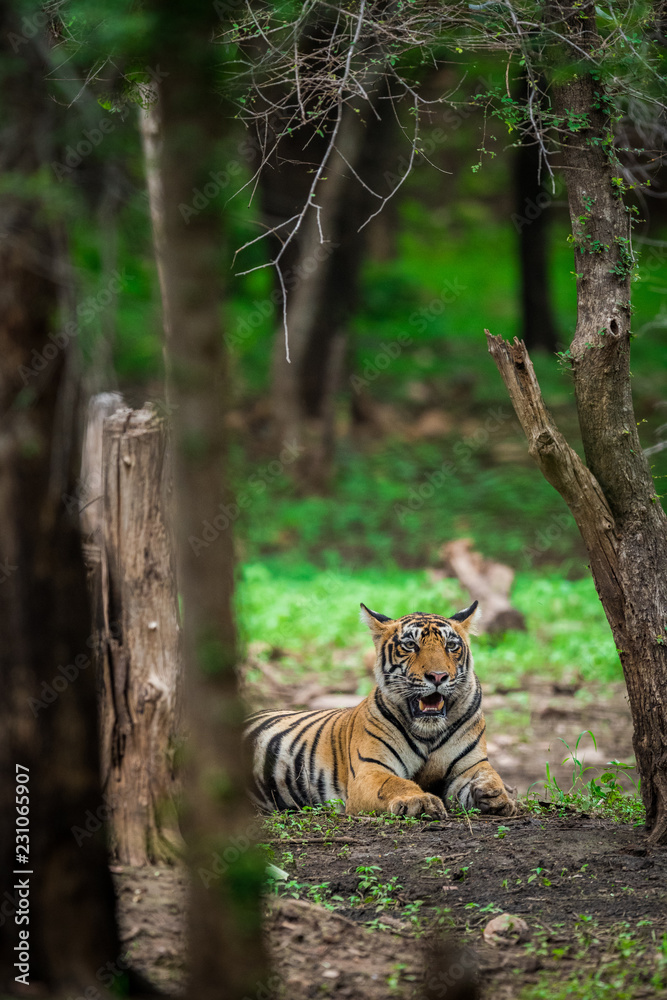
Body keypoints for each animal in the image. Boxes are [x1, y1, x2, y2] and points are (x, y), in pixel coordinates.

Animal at [245, 600, 516, 818]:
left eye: (450, 646)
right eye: (410, 645)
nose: (438, 676)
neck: (429, 732)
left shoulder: (471, 765)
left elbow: (489, 775)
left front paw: (499, 795)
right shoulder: (370, 769)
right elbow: (394, 784)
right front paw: (420, 800)